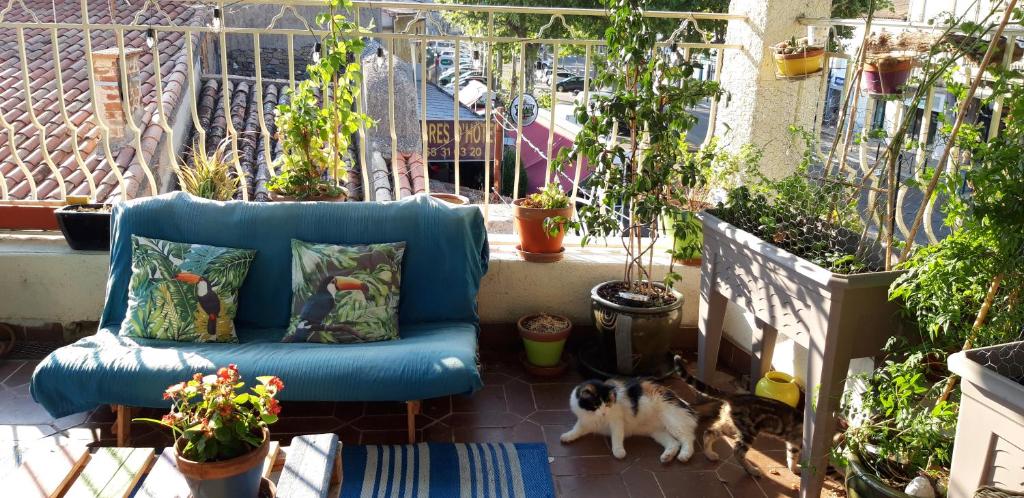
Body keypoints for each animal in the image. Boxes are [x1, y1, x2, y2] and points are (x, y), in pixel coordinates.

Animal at [557, 377, 700, 463]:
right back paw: (667, 456)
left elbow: (616, 438)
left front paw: (618, 451)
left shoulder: (616, 422)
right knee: (674, 443)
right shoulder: (586, 422)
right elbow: (576, 429)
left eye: (607, 404)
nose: (603, 413)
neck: (594, 416)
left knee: (688, 438)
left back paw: (684, 455)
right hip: (658, 433)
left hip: (673, 422)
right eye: (596, 405)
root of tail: (685, 403)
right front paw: (568, 436)